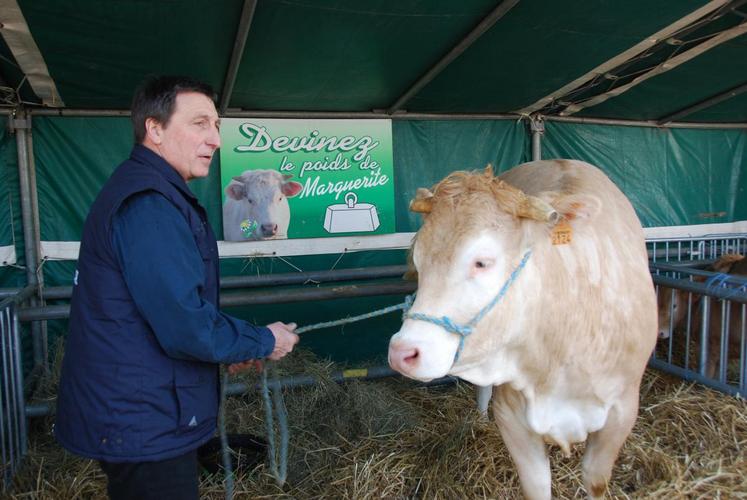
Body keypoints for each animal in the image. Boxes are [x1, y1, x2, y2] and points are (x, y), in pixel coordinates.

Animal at [388, 160, 656, 500]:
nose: (402, 352)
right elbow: (536, 487)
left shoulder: (622, 411)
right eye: (419, 262)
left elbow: (595, 481)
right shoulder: (511, 417)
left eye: (482, 262)